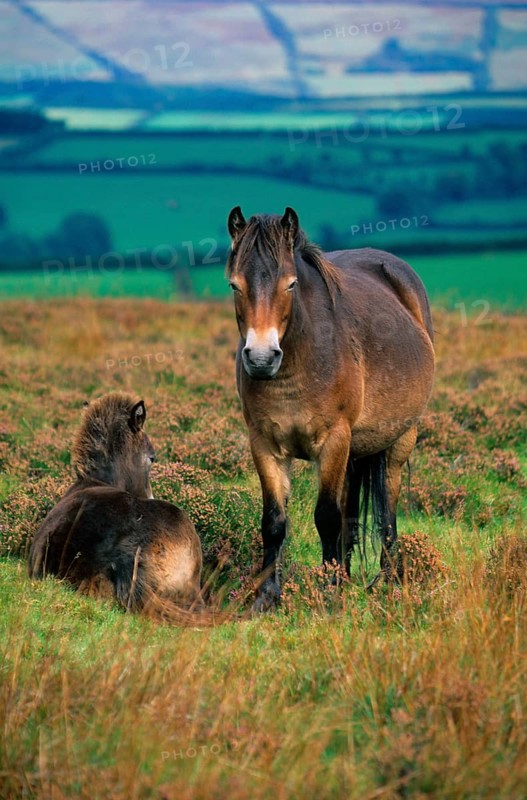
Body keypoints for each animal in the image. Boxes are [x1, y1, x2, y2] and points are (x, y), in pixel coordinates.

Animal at [226, 206, 435, 611]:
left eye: (290, 285)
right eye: (234, 286)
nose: (261, 358)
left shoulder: (334, 440)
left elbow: (326, 517)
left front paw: (329, 593)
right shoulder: (264, 445)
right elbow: (274, 521)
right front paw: (267, 597)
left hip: (400, 440)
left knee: (387, 509)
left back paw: (386, 581)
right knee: (350, 511)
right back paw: (349, 575)